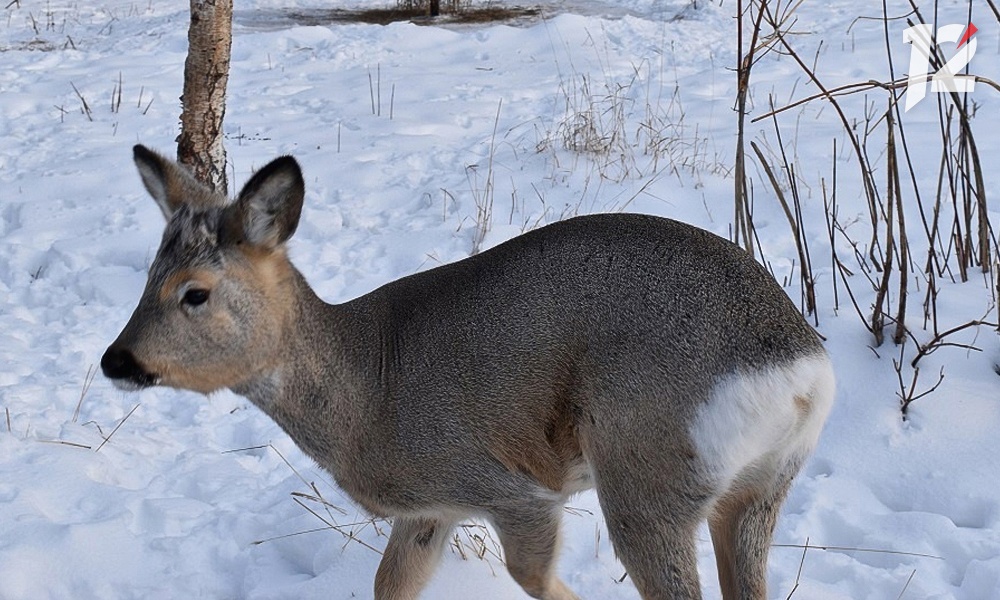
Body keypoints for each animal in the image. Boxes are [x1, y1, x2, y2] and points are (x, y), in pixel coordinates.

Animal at [103, 146, 836, 600]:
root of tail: (802, 369)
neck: (361, 395)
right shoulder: (432, 510)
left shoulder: (507, 488)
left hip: (645, 475)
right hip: (759, 488)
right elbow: (389, 586)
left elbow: (533, 576)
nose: (116, 359)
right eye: (148, 275)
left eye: (193, 292)